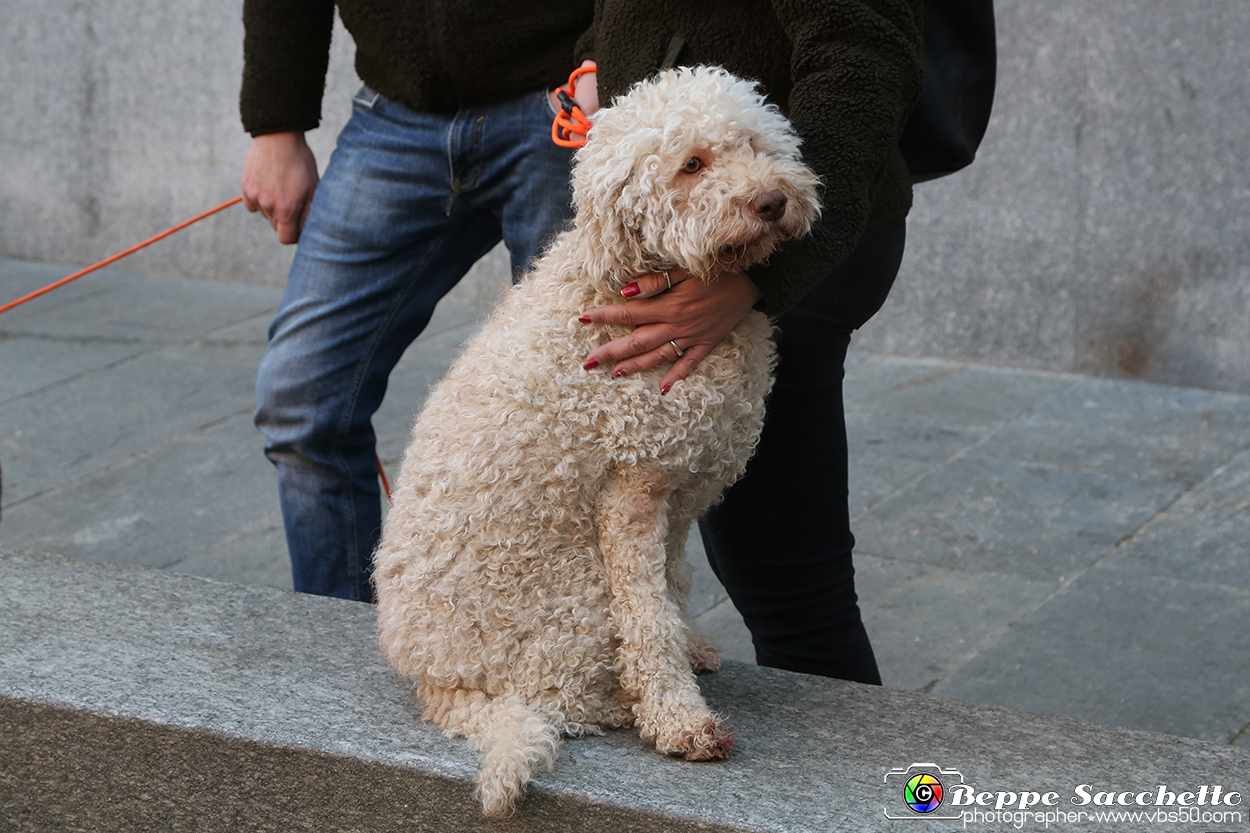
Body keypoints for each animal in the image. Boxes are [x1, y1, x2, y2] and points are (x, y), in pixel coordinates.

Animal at [370, 66, 820, 815]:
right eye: (691, 165)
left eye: (756, 144)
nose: (771, 200)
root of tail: (437, 680)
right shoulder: (631, 491)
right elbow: (647, 615)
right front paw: (678, 718)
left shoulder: (677, 488)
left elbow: (672, 585)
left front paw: (690, 647)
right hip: (573, 600)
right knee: (557, 702)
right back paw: (617, 706)